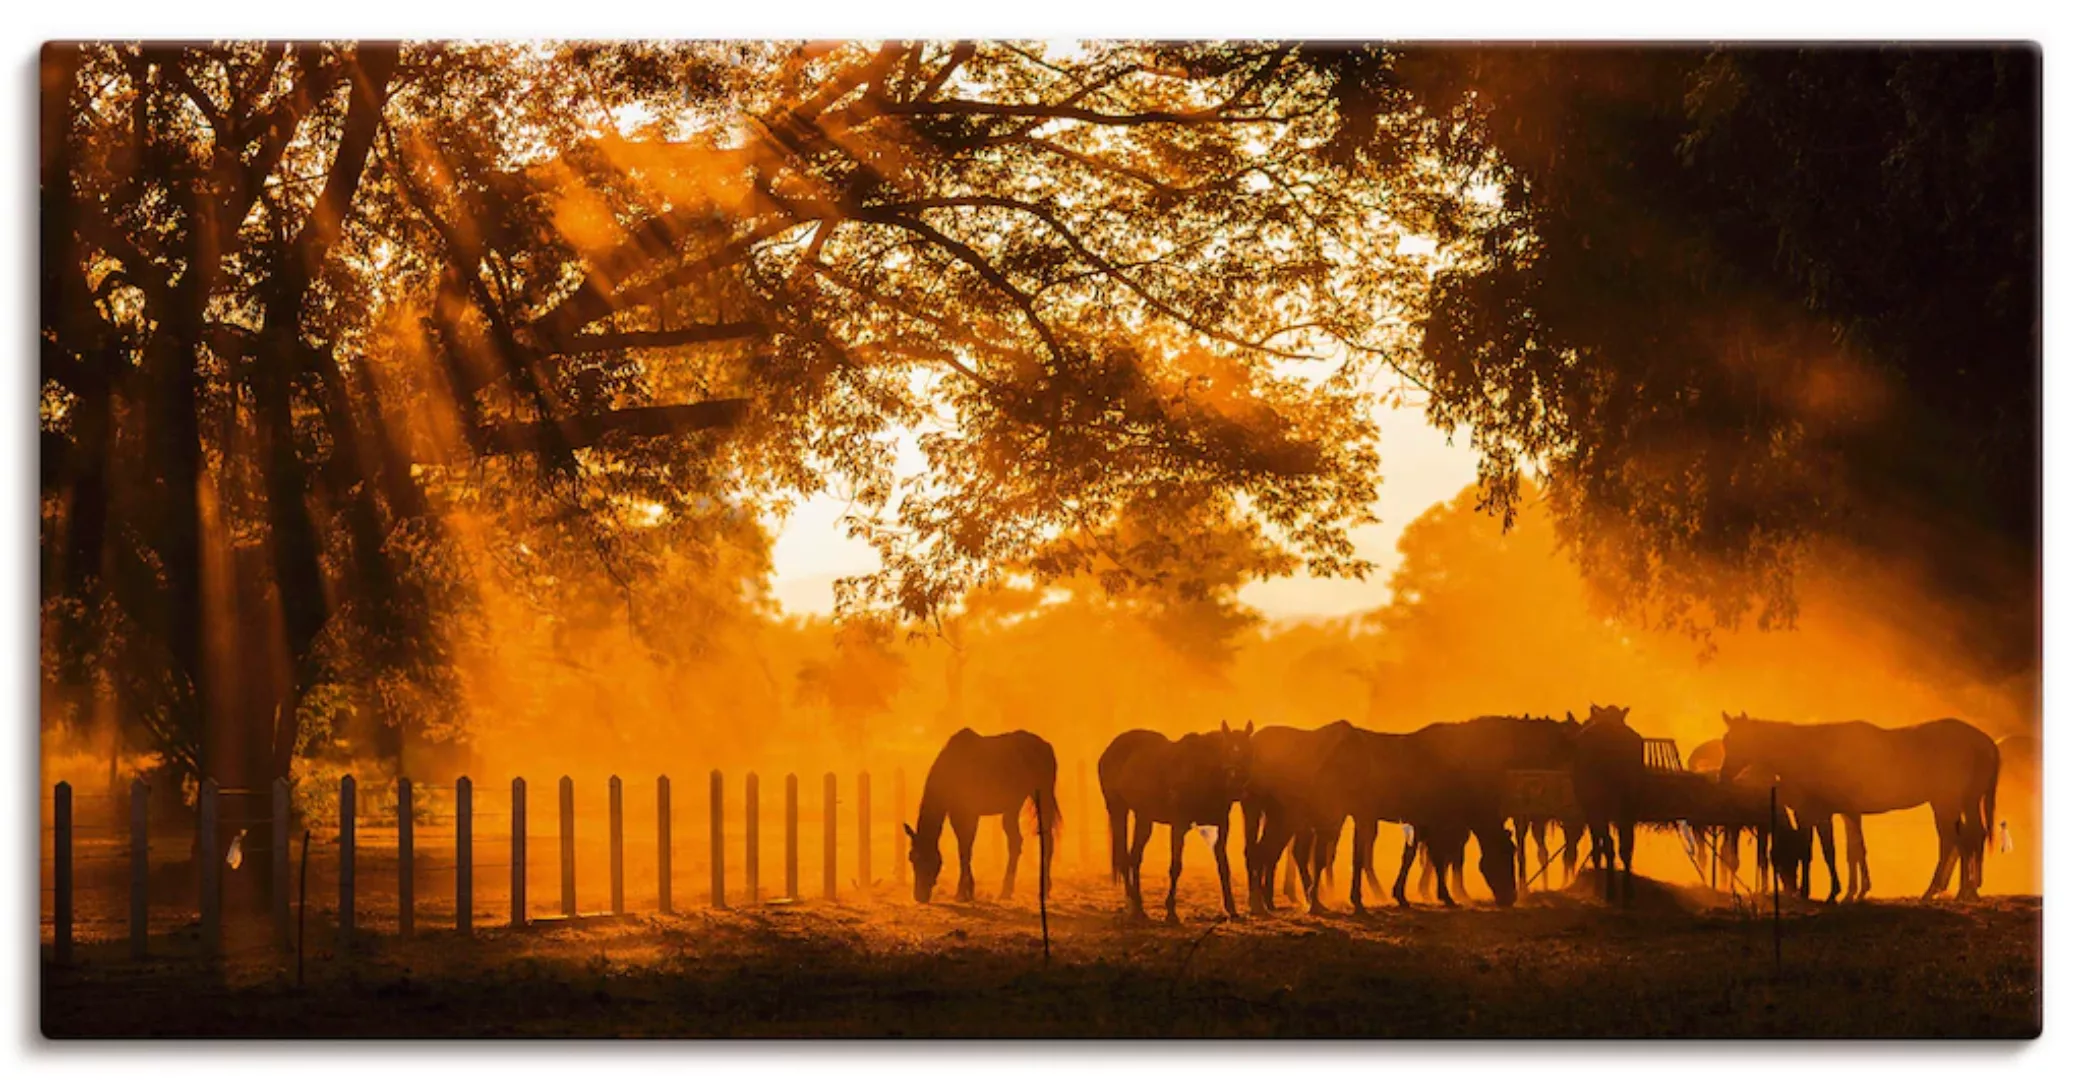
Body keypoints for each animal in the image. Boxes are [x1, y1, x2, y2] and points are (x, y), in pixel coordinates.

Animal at [899, 729, 1058, 904]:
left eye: (929, 860)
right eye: (911, 858)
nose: (919, 896)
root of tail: (1047, 746)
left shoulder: (969, 814)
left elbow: (965, 849)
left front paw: (963, 893)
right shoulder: (956, 814)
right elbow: (964, 849)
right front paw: (968, 891)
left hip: (1043, 795)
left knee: (1047, 838)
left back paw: (1044, 890)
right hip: (1013, 805)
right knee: (1015, 841)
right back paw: (1006, 891)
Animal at [1091, 729, 1249, 921]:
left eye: (1249, 750)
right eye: (1226, 750)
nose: (1237, 786)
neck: (1203, 770)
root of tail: (1108, 751)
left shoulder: (1222, 826)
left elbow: (1224, 866)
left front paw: (1232, 909)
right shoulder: (1179, 826)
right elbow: (1176, 866)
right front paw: (1171, 912)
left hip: (1144, 817)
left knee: (1134, 857)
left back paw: (1139, 907)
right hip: (1118, 810)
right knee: (1123, 857)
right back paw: (1134, 903)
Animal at [1708, 717, 1999, 900]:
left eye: (1737, 742)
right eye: (1725, 741)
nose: (1723, 776)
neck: (1811, 752)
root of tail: (1985, 742)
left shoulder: (1823, 813)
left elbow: (1827, 852)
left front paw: (1833, 892)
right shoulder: (1845, 812)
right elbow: (1852, 850)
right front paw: (1853, 890)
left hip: (1945, 802)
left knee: (1954, 841)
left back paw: (1941, 889)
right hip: (1965, 802)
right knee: (1971, 837)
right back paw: (1966, 889)